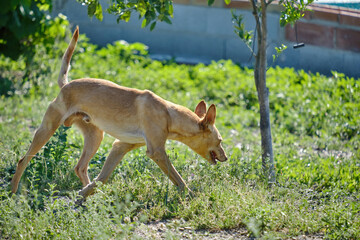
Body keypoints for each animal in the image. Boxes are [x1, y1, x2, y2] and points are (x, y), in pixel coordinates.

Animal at [10, 26, 228, 199]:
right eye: (220, 140)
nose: (226, 158)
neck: (168, 114)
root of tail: (66, 85)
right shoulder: (157, 152)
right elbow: (178, 178)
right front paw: (190, 195)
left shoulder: (120, 146)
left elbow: (101, 178)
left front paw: (85, 194)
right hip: (47, 130)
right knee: (22, 160)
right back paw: (12, 193)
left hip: (95, 137)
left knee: (80, 167)